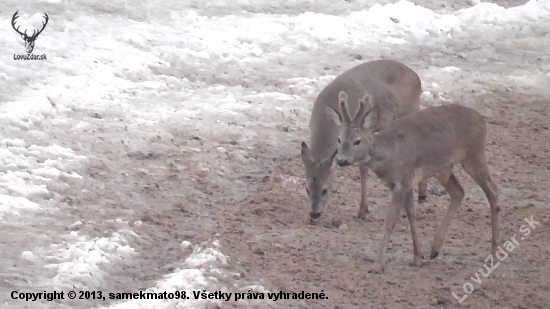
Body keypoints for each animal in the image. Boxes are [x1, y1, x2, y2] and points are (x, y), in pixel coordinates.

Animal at [304, 59, 430, 224]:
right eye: (307, 188)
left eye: (325, 189)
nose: (314, 214)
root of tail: (416, 75)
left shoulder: (366, 130)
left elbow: (363, 167)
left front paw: (362, 211)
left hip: (410, 108)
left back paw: (422, 194)